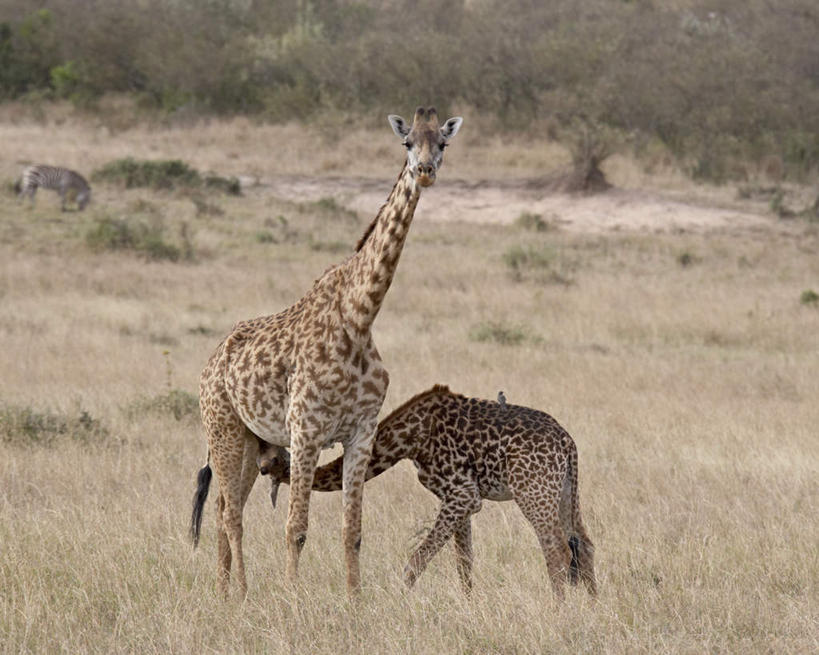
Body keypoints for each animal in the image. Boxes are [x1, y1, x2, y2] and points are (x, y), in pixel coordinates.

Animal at [189, 107, 464, 600]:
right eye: (406, 142)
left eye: (443, 144)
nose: (425, 172)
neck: (358, 317)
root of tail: (210, 362)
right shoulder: (306, 431)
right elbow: (296, 528)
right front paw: (292, 600)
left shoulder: (361, 432)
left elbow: (352, 530)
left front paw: (355, 602)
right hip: (223, 429)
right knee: (232, 516)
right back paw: (242, 593)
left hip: (250, 440)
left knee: (223, 509)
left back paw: (223, 592)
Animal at [260, 386, 600, 604]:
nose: (261, 467)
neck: (409, 438)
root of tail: (567, 442)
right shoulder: (461, 499)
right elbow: (464, 561)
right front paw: (468, 606)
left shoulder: (463, 494)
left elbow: (416, 560)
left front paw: (400, 600)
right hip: (565, 491)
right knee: (584, 544)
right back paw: (592, 608)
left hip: (533, 491)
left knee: (557, 549)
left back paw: (558, 610)